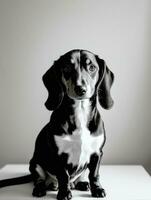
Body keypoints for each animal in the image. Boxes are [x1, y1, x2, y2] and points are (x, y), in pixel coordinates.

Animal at [0, 50, 114, 200]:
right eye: (66, 68)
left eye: (92, 67)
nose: (81, 89)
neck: (80, 113)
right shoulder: (59, 155)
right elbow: (63, 176)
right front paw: (64, 193)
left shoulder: (97, 153)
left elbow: (94, 174)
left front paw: (97, 189)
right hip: (34, 163)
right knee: (40, 179)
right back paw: (44, 187)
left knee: (80, 177)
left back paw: (81, 183)